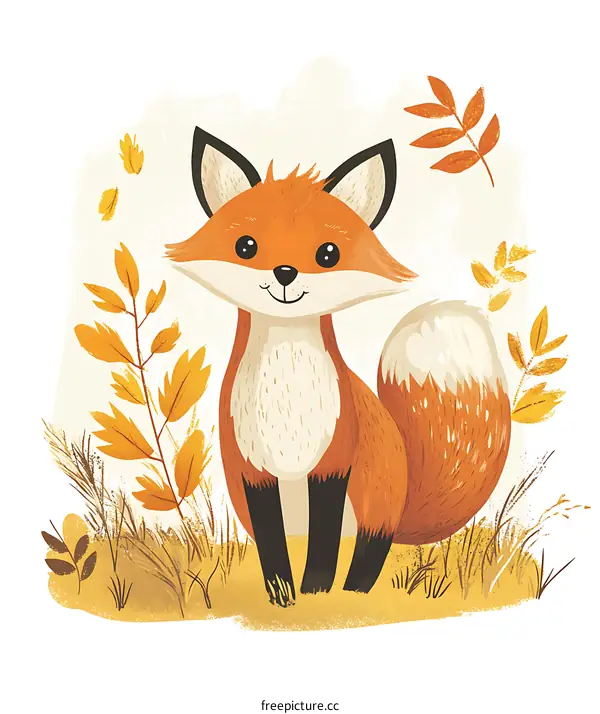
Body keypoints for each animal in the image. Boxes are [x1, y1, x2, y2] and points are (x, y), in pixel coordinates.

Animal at [166, 127, 511, 607]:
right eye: (246, 246)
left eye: (327, 253)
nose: (285, 273)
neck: (287, 394)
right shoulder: (252, 470)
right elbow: (273, 549)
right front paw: (283, 597)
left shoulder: (334, 462)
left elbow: (325, 547)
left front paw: (316, 591)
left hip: (373, 506)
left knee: (368, 554)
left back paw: (354, 592)